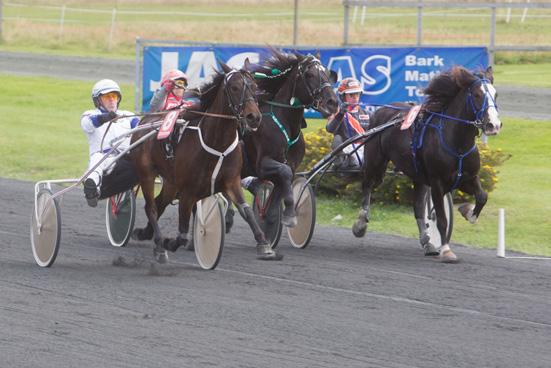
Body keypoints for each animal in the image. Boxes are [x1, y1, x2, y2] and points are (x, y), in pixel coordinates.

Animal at [130, 61, 280, 262]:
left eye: (255, 87)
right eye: (234, 87)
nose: (253, 117)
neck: (217, 143)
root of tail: (145, 121)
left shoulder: (231, 181)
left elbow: (246, 210)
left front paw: (264, 244)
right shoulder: (188, 190)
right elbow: (182, 233)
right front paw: (171, 243)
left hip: (171, 182)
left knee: (159, 202)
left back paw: (147, 234)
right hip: (147, 173)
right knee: (151, 207)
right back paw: (161, 246)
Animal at [239, 48, 338, 227]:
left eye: (327, 73)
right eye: (310, 75)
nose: (332, 102)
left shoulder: (291, 165)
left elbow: (286, 178)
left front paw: (274, 214)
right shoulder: (262, 164)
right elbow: (284, 172)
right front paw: (290, 213)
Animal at [354, 66, 504, 262]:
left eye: (495, 94)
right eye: (478, 95)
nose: (494, 125)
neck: (456, 143)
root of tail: (383, 110)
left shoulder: (468, 178)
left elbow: (482, 196)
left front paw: (468, 212)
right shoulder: (437, 182)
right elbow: (441, 218)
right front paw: (446, 250)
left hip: (418, 176)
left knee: (418, 207)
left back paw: (427, 242)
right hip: (375, 163)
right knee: (368, 185)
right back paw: (361, 223)